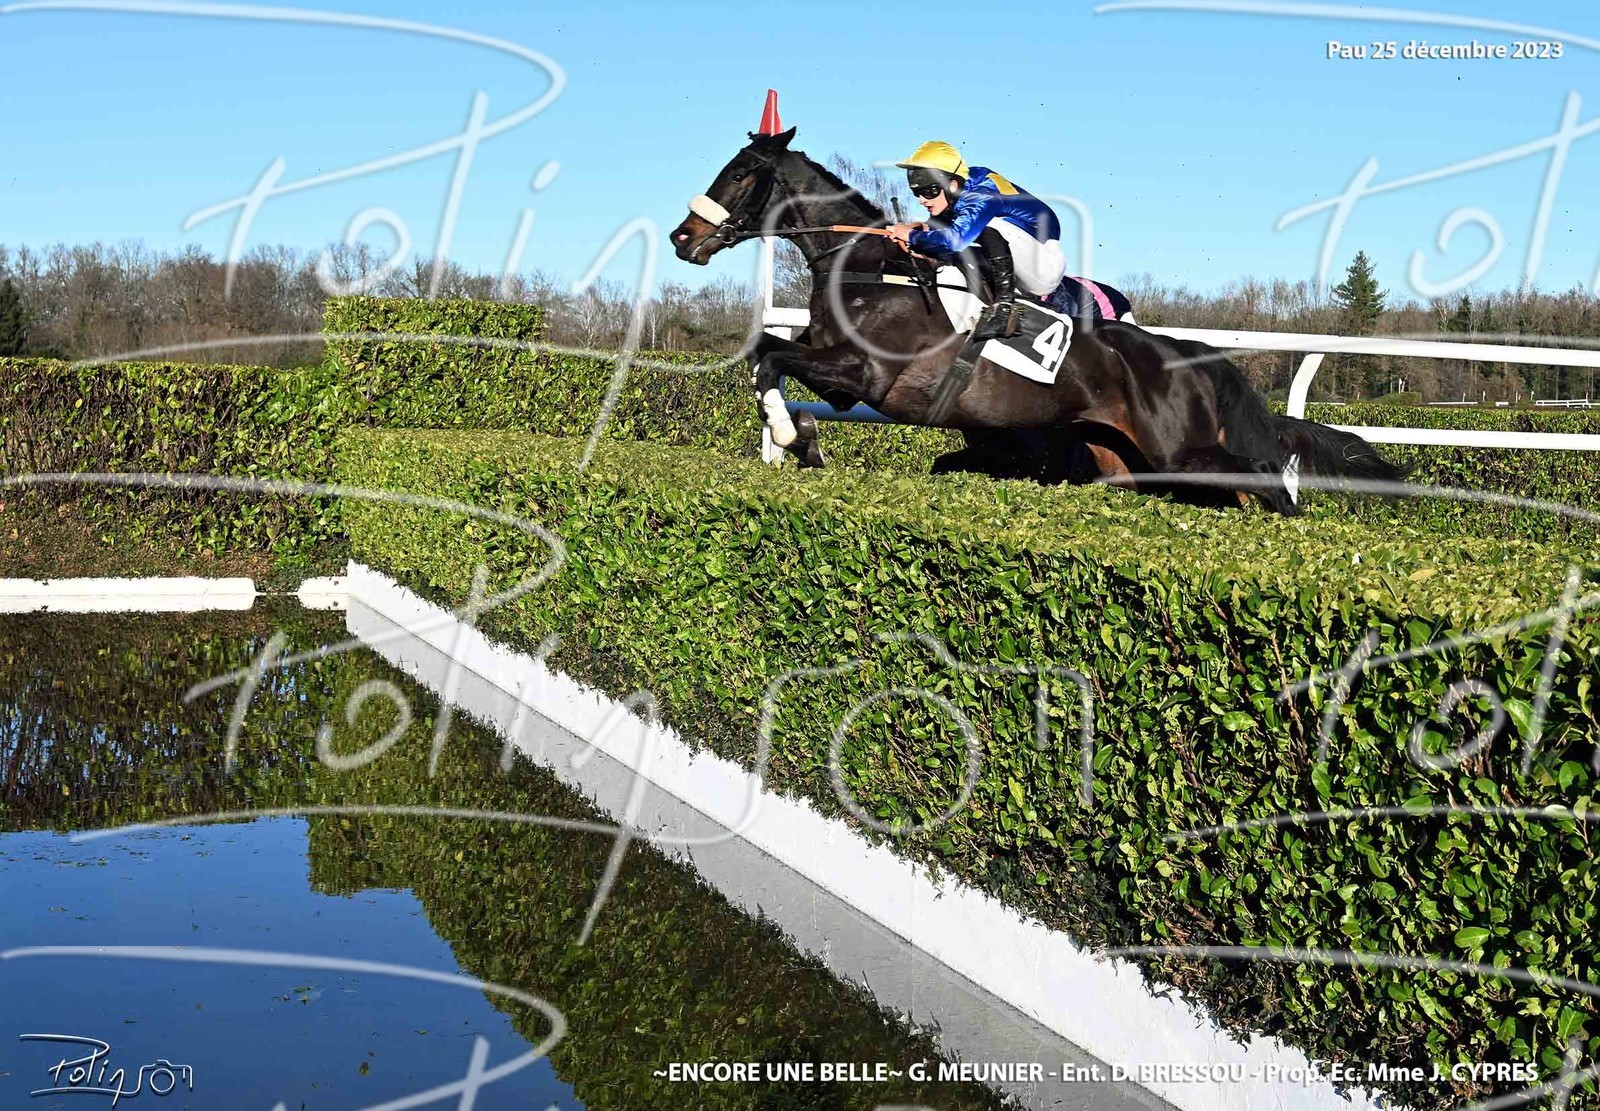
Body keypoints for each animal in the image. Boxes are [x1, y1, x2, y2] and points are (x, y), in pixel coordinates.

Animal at [670, 126, 1406, 512]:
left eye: (741, 173)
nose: (683, 238)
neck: (870, 270)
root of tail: (1189, 358)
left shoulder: (868, 374)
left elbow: (776, 357)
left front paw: (792, 436)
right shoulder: (840, 375)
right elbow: (764, 355)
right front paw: (799, 438)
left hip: (1178, 449)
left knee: (1258, 473)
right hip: (1128, 463)